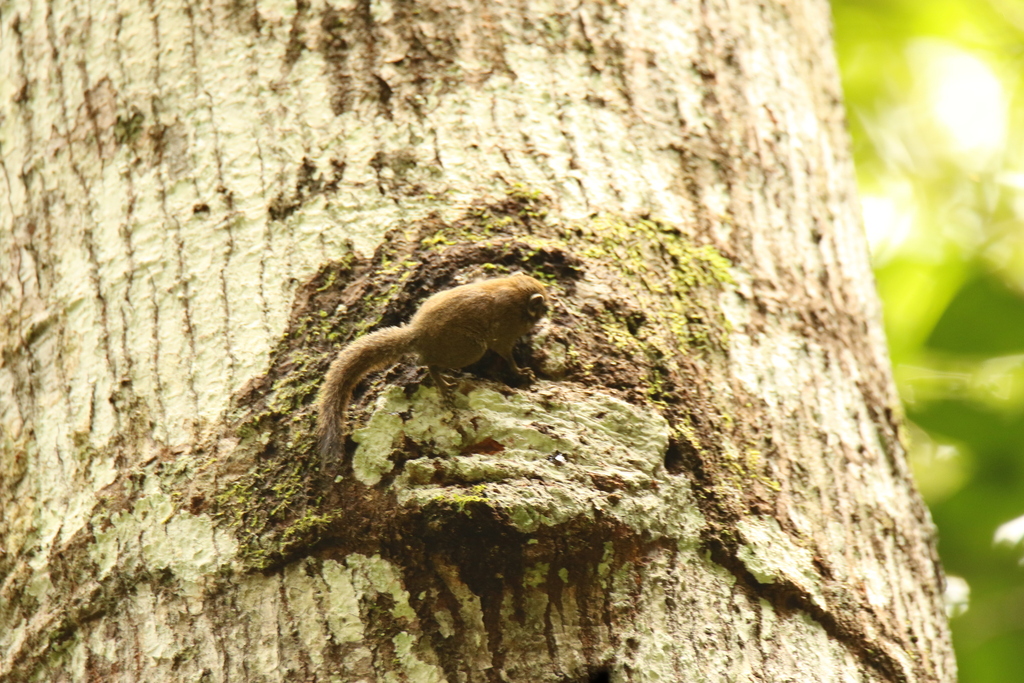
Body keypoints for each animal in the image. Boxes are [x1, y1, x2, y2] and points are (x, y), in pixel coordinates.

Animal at [316, 273, 550, 458]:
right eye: (543, 303)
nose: (549, 309)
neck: (516, 292)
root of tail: (418, 334)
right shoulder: (505, 332)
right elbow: (507, 355)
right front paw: (521, 372)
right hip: (471, 349)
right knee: (428, 364)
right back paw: (443, 386)